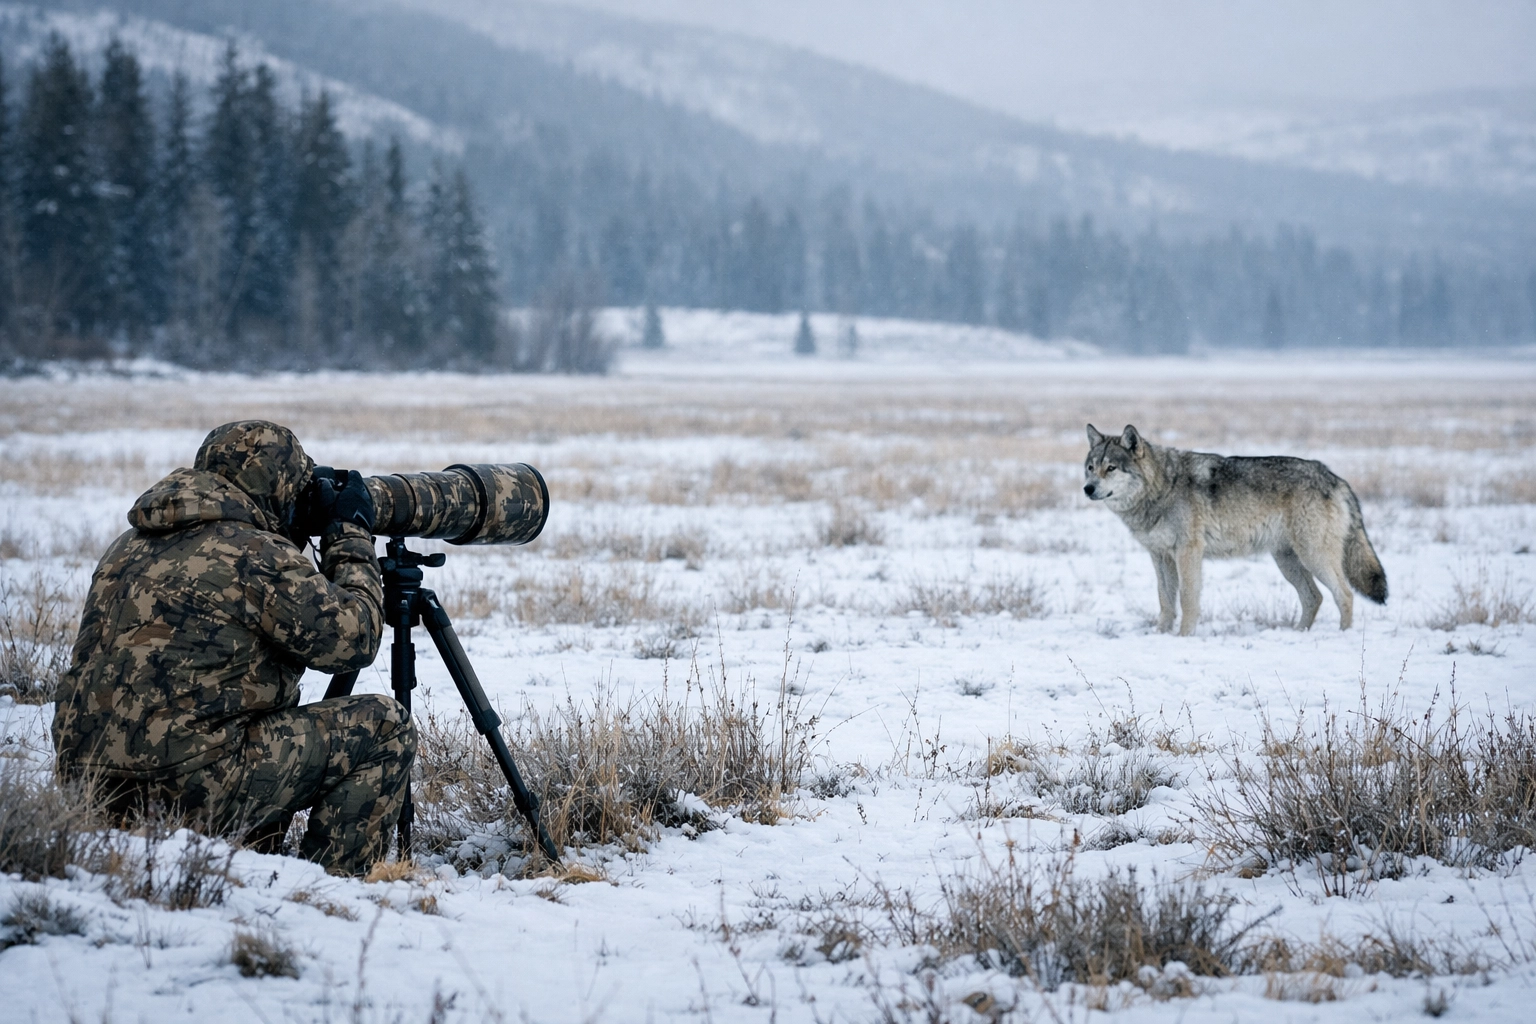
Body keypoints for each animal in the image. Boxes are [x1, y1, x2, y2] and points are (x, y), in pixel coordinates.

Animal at [1083, 424, 1387, 635]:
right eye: (1090, 467)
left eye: (1111, 468)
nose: (1087, 489)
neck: (1163, 487)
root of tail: (1334, 477)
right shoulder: (1160, 556)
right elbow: (1165, 600)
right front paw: (1161, 635)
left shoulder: (1188, 552)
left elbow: (1187, 598)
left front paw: (1183, 637)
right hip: (1288, 562)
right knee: (1314, 597)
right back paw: (1299, 634)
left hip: (1314, 557)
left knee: (1344, 594)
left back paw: (1342, 635)